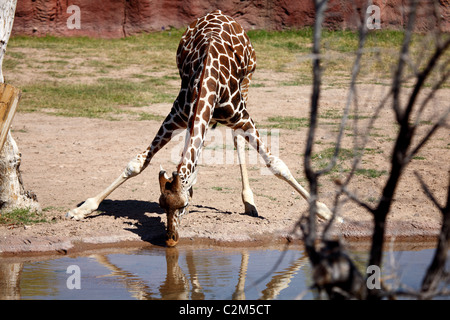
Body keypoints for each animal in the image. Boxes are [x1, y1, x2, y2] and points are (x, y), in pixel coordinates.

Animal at [67, 9, 334, 245]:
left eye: (182, 206)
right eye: (161, 205)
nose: (171, 240)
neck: (208, 79)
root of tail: (220, 13)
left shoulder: (242, 117)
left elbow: (277, 165)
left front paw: (328, 213)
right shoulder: (177, 115)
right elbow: (138, 163)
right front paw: (81, 210)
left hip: (247, 83)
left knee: (236, 139)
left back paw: (249, 203)